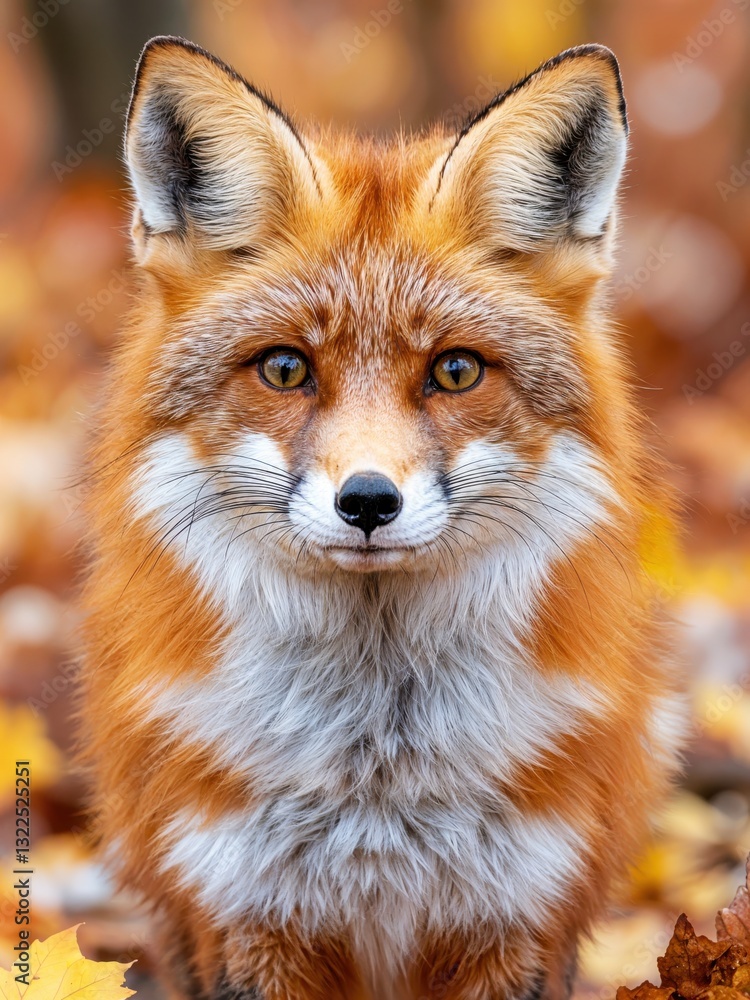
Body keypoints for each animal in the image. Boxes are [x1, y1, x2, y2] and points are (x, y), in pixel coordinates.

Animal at [80, 35, 687, 1000]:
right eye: (286, 369)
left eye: (456, 372)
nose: (368, 501)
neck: (377, 774)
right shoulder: (242, 916)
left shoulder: (518, 915)